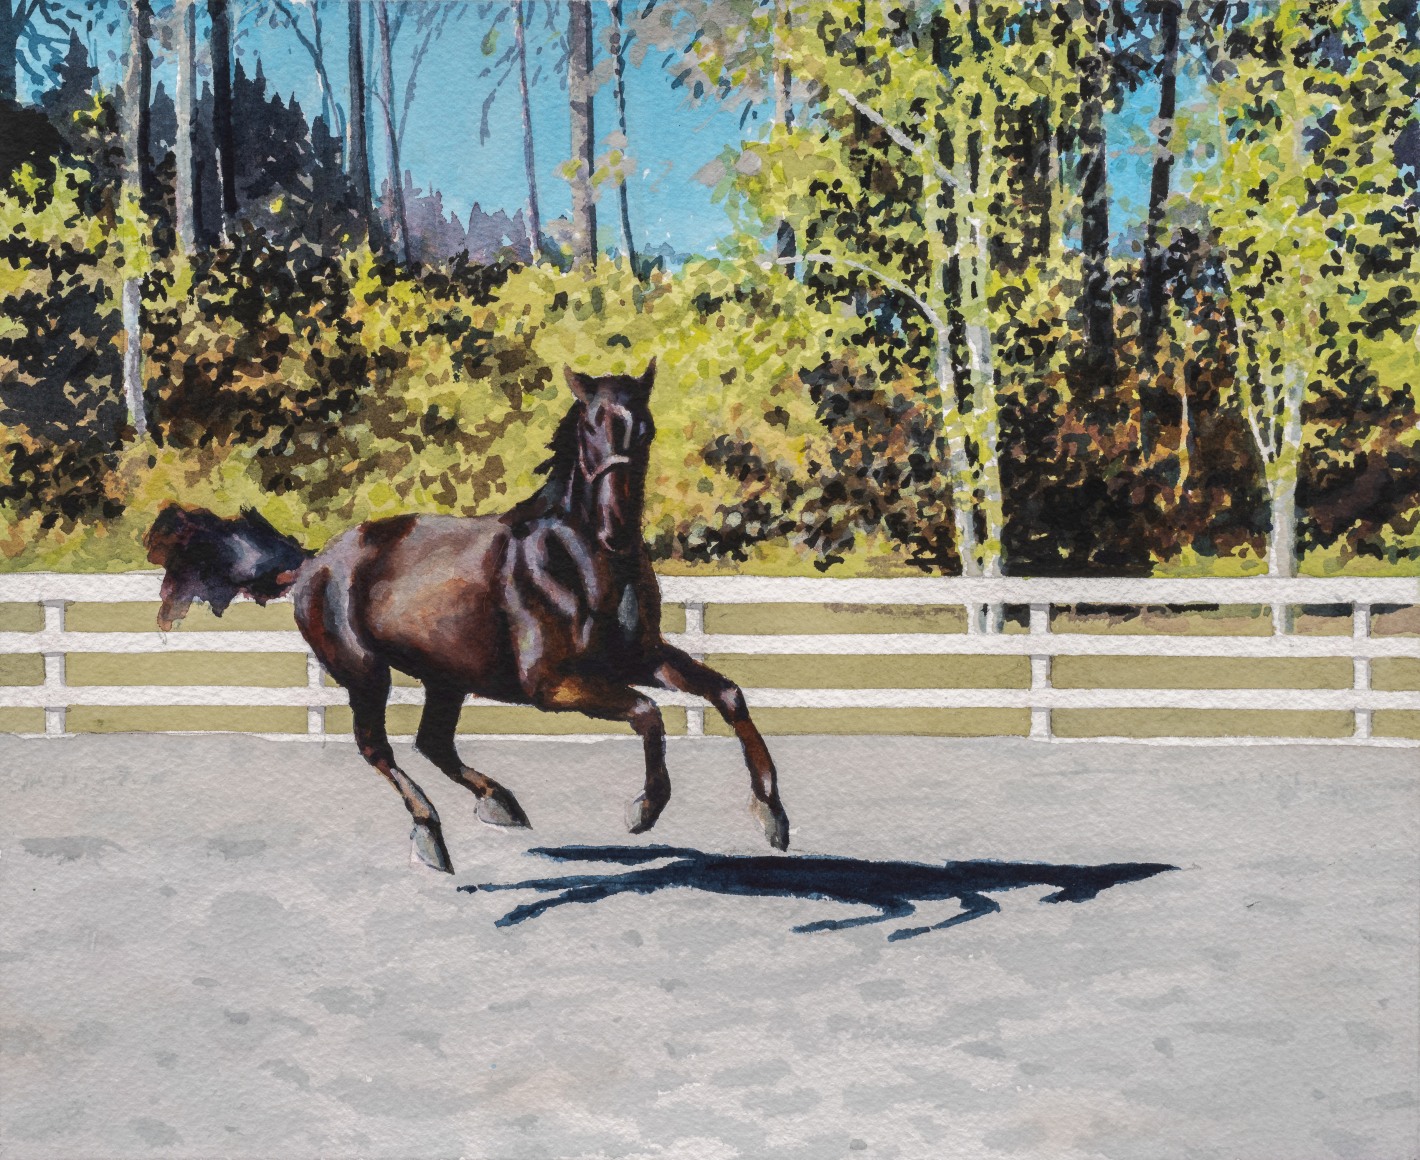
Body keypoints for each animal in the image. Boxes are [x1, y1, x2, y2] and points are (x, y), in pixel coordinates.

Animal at [145, 361, 791, 874]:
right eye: (589, 425)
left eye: (645, 426)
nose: (613, 529)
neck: (583, 562)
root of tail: (315, 562)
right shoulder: (550, 684)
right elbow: (647, 713)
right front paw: (644, 810)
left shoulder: (638, 657)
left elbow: (728, 695)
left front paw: (772, 816)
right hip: (364, 673)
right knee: (379, 749)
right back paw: (431, 834)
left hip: (446, 676)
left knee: (432, 742)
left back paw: (499, 803)